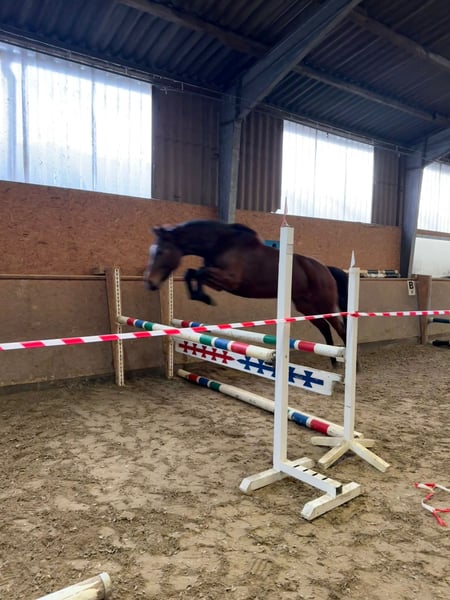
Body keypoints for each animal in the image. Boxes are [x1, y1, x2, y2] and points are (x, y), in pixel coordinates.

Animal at [143, 220, 348, 363]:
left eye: (161, 251)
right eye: (151, 251)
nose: (150, 283)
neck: (221, 244)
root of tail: (326, 269)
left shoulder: (229, 280)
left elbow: (199, 272)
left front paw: (204, 297)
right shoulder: (218, 282)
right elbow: (192, 273)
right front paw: (202, 296)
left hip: (323, 304)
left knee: (340, 327)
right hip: (306, 306)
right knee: (324, 327)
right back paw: (333, 361)